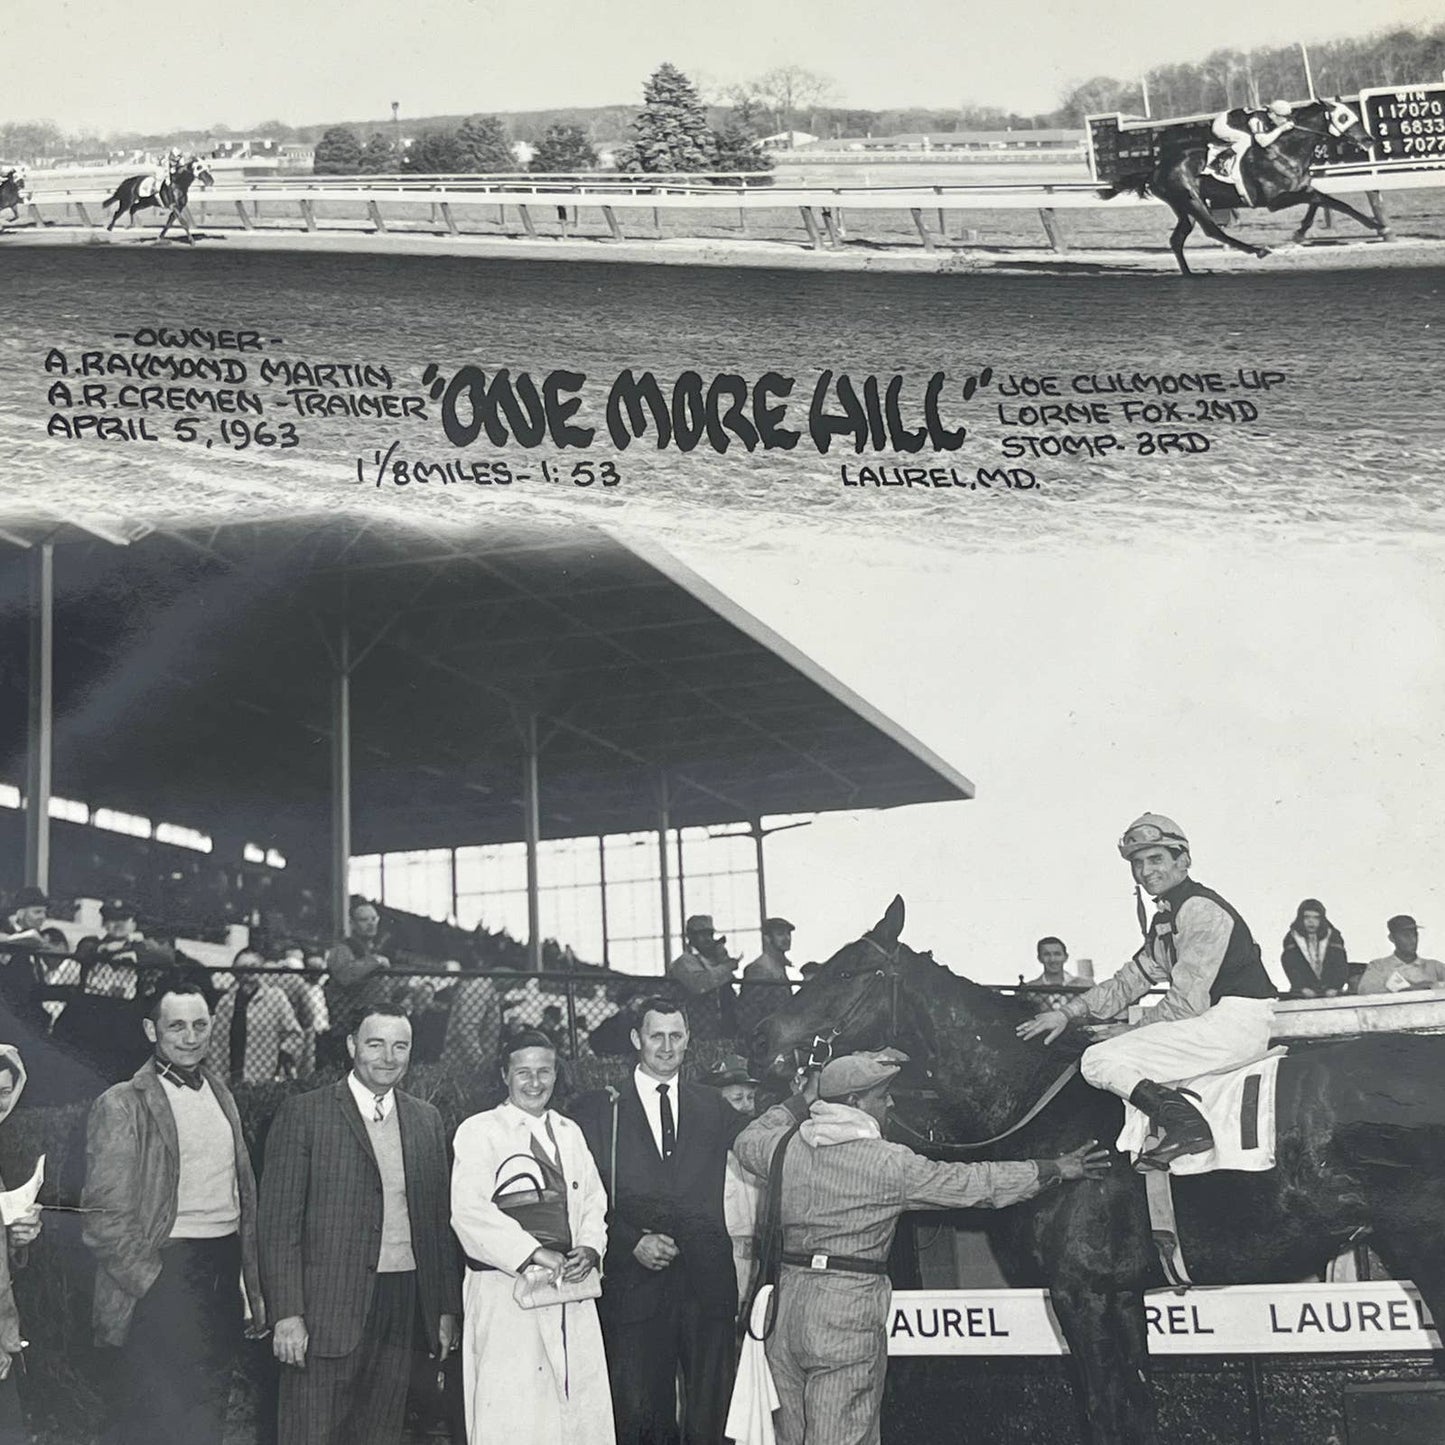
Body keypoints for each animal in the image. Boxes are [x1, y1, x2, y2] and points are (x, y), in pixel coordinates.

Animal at [751, 895, 1445, 1439]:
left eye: (847, 972)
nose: (759, 1039)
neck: (1031, 1098)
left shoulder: (1081, 1292)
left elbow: (1106, 1412)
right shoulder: (1121, 1292)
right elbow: (1136, 1409)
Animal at [1109, 98, 1381, 275]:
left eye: (1355, 115)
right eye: (1343, 117)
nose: (1369, 140)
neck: (1285, 150)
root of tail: (1155, 169)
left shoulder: (1300, 189)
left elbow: (1322, 200)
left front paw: (1301, 232)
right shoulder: (1274, 200)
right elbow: (1324, 199)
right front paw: (1376, 225)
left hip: (1184, 208)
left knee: (1177, 239)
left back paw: (1190, 274)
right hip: (1190, 200)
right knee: (1212, 231)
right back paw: (1258, 250)